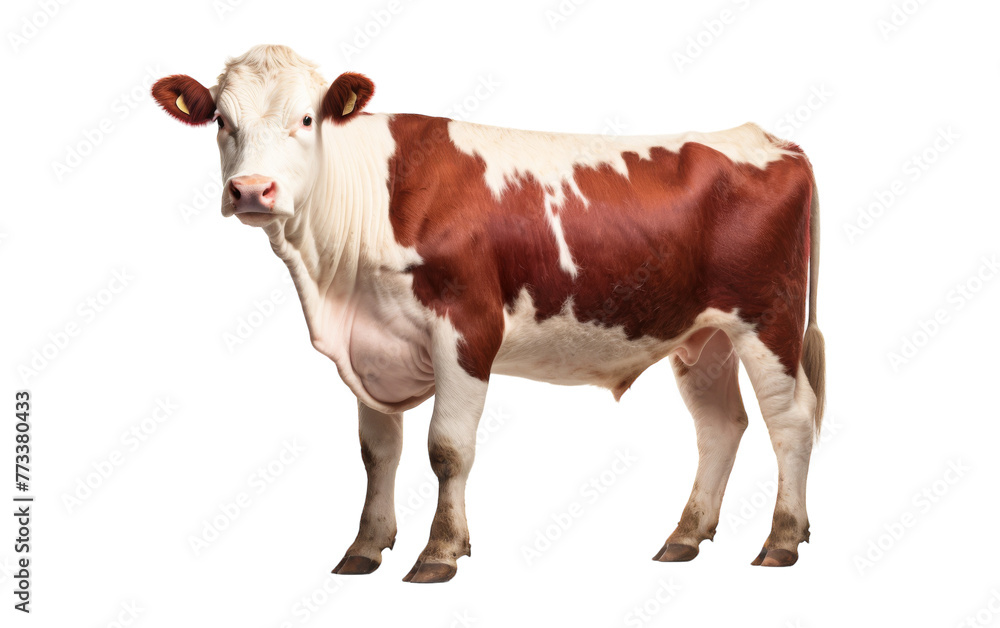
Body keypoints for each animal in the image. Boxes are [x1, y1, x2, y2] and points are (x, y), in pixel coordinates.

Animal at [154, 44, 828, 584]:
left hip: (768, 318)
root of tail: (770, 139)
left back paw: (781, 540)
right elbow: (378, 452)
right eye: (221, 119)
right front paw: (365, 548)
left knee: (791, 421)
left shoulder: (467, 328)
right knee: (720, 425)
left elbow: (447, 448)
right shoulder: (370, 342)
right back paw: (685, 537)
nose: (251, 190)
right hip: (703, 335)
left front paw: (439, 553)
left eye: (306, 118)